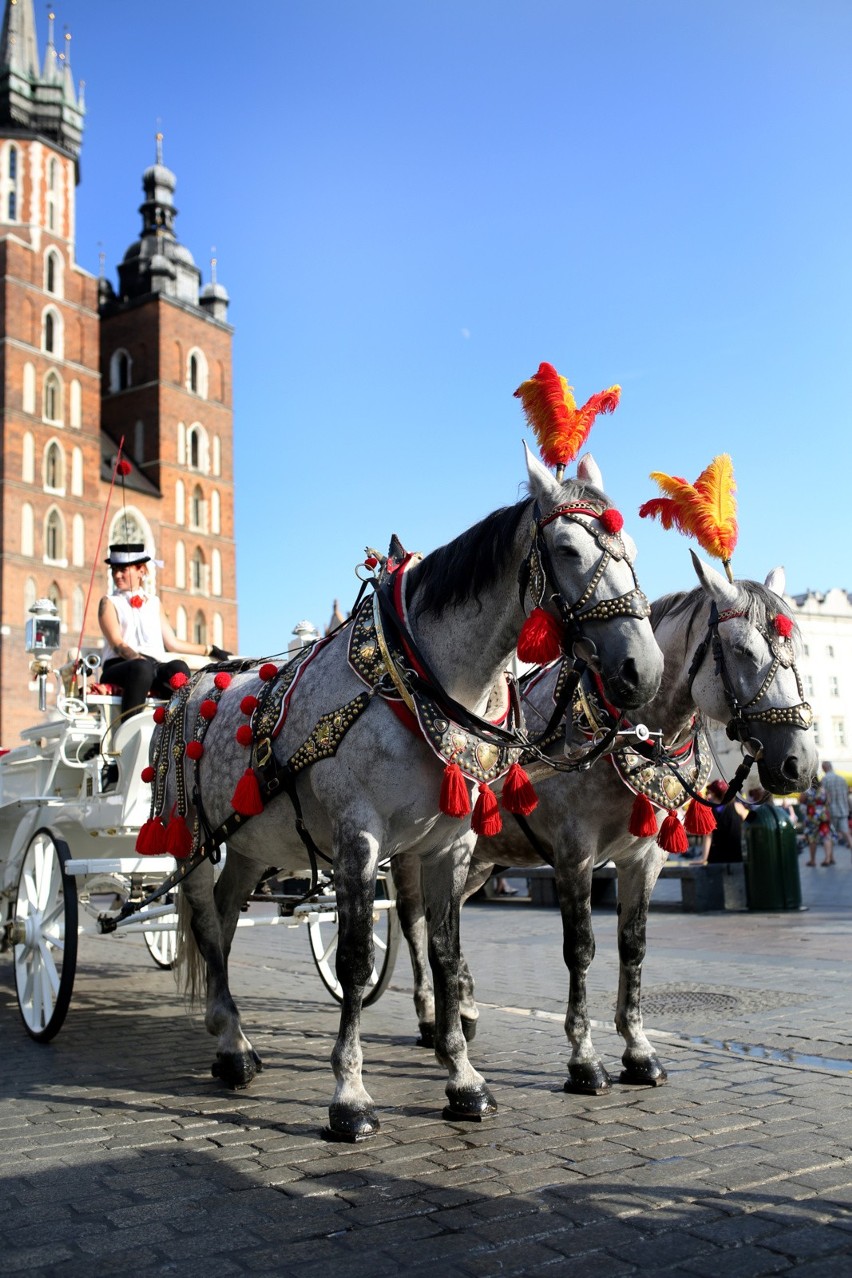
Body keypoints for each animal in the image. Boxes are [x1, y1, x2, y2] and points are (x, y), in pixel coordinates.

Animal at [163, 449, 664, 1139]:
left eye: (634, 549)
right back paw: (233, 1047)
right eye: (566, 548)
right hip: (190, 837)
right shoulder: (359, 838)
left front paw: (463, 1078)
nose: (645, 670)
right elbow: (353, 962)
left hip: (248, 843)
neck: (416, 678)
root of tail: (193, 679)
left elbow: (446, 954)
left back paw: (231, 1035)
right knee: (206, 921)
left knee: (227, 912)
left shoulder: (448, 846)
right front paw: (349, 1096)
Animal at [393, 554, 817, 1093]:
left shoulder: (645, 858)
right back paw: (431, 1019)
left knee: (448, 921)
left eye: (799, 649)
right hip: (411, 856)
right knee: (416, 925)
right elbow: (581, 950)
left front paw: (638, 1051)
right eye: (742, 650)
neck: (631, 733)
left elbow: (632, 946)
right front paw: (584, 1059)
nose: (800, 764)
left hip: (479, 862)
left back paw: (464, 1009)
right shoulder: (575, 856)